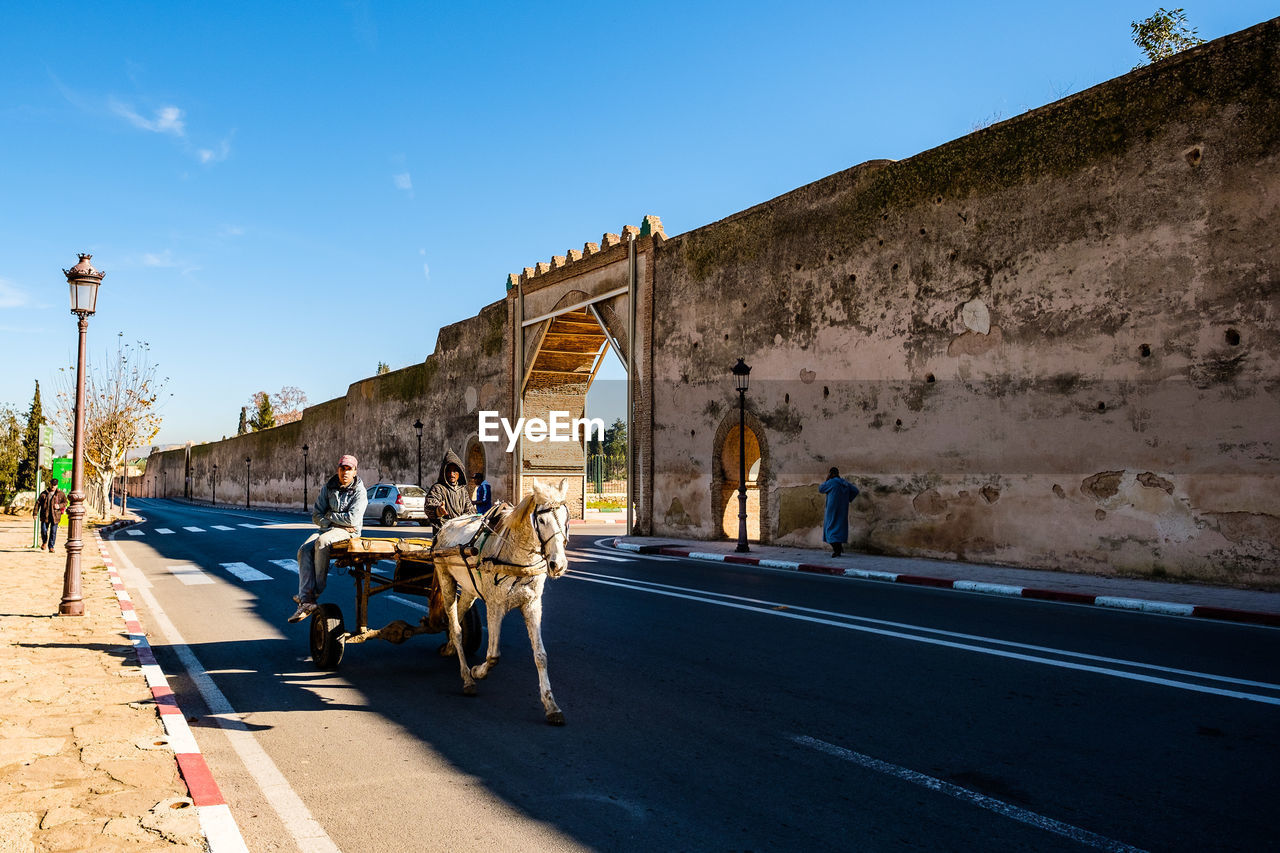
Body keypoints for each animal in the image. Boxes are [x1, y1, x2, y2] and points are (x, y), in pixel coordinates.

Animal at [432, 473, 568, 722]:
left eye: (565, 518)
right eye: (542, 520)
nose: (558, 565)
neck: (516, 556)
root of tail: (447, 524)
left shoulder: (533, 604)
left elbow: (541, 656)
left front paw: (551, 705)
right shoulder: (495, 605)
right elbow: (494, 655)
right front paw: (478, 671)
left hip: (469, 589)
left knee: (460, 615)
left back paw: (449, 648)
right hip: (445, 578)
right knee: (455, 626)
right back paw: (467, 677)